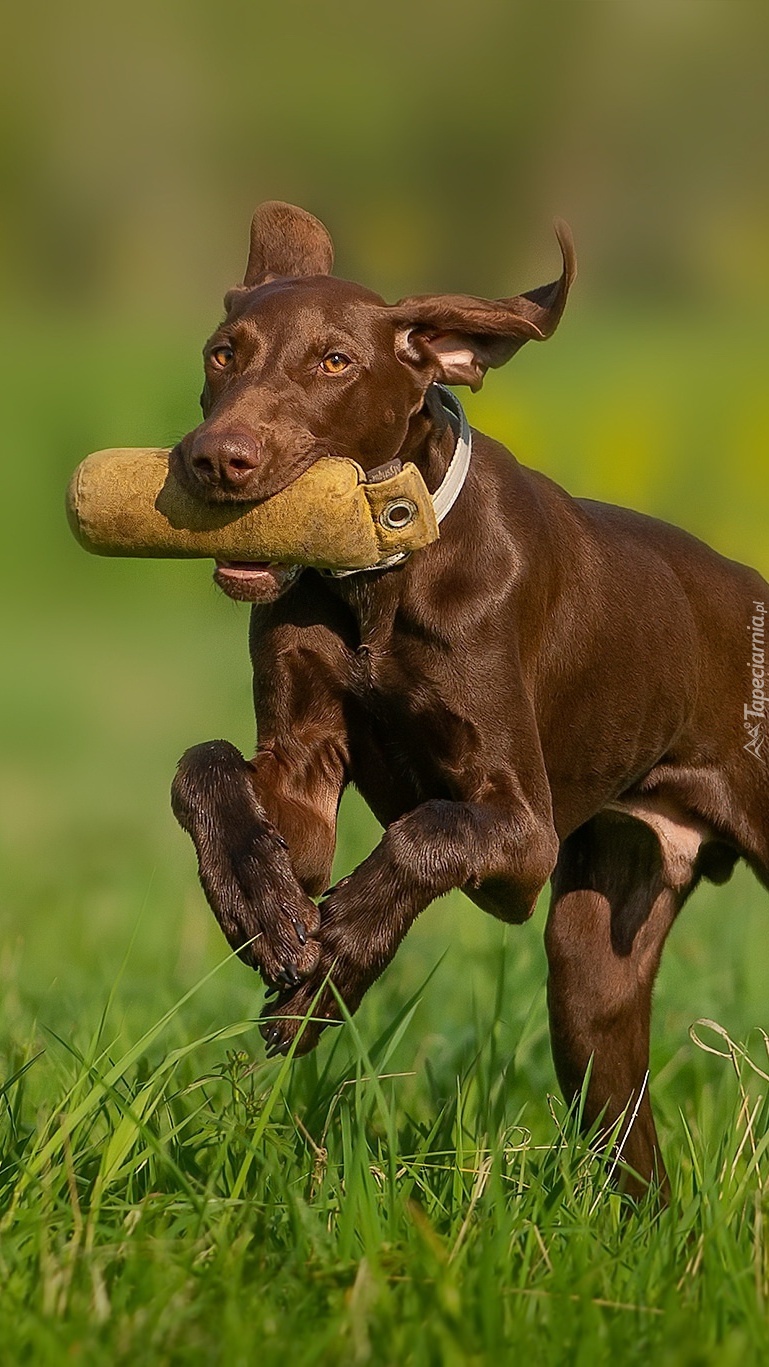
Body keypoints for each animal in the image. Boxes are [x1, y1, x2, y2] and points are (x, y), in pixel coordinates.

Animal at [170, 199, 769, 1197]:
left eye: (335, 361)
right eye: (224, 352)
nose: (216, 460)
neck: (378, 575)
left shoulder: (520, 831)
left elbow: (426, 832)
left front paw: (337, 962)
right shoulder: (299, 776)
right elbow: (206, 769)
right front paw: (257, 905)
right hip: (592, 968)